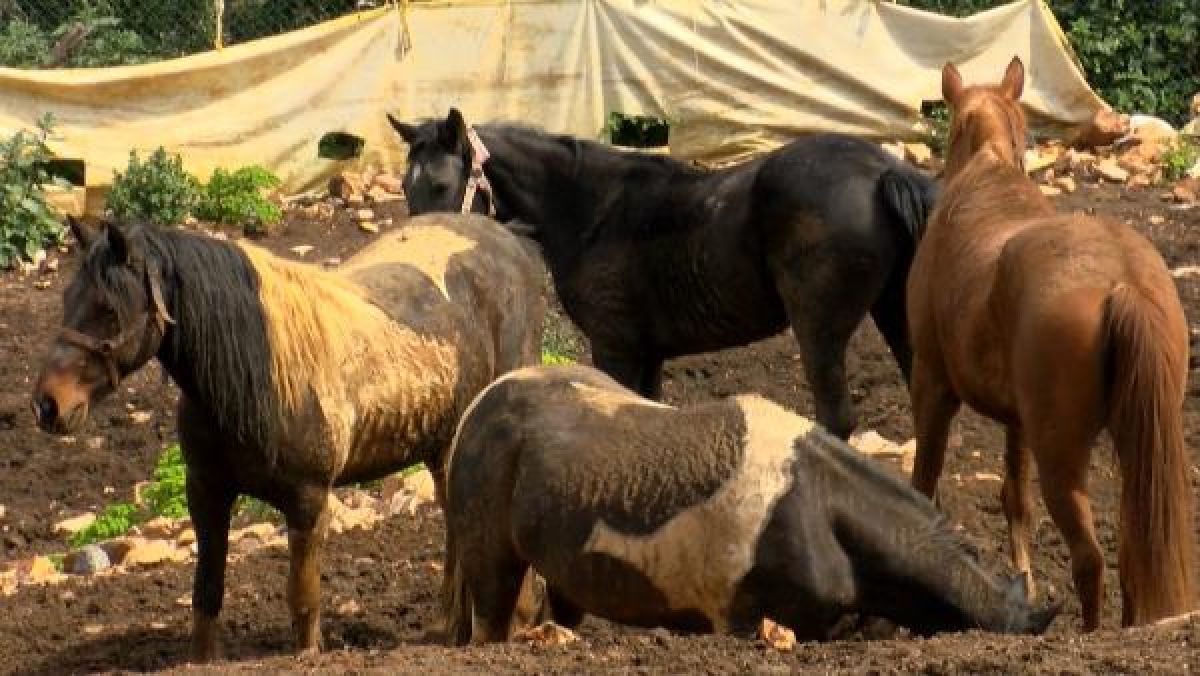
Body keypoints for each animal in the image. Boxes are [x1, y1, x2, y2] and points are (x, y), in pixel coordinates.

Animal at [31, 212, 549, 662]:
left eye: (109, 310)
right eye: (67, 299)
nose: (47, 405)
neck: (257, 375)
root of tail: (510, 240)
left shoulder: (307, 502)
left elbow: (303, 599)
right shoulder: (206, 495)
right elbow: (207, 592)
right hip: (444, 450)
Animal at [384, 109, 936, 441]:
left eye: (441, 184)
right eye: (404, 185)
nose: (420, 254)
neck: (589, 209)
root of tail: (881, 169)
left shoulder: (616, 347)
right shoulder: (647, 353)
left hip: (820, 329)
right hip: (895, 314)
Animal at [907, 56, 1190, 629]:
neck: (985, 174)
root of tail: (1123, 281)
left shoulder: (931, 383)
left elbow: (925, 480)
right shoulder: (1017, 419)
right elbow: (1015, 500)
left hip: (1061, 453)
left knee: (1090, 558)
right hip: (1133, 443)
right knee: (1128, 554)